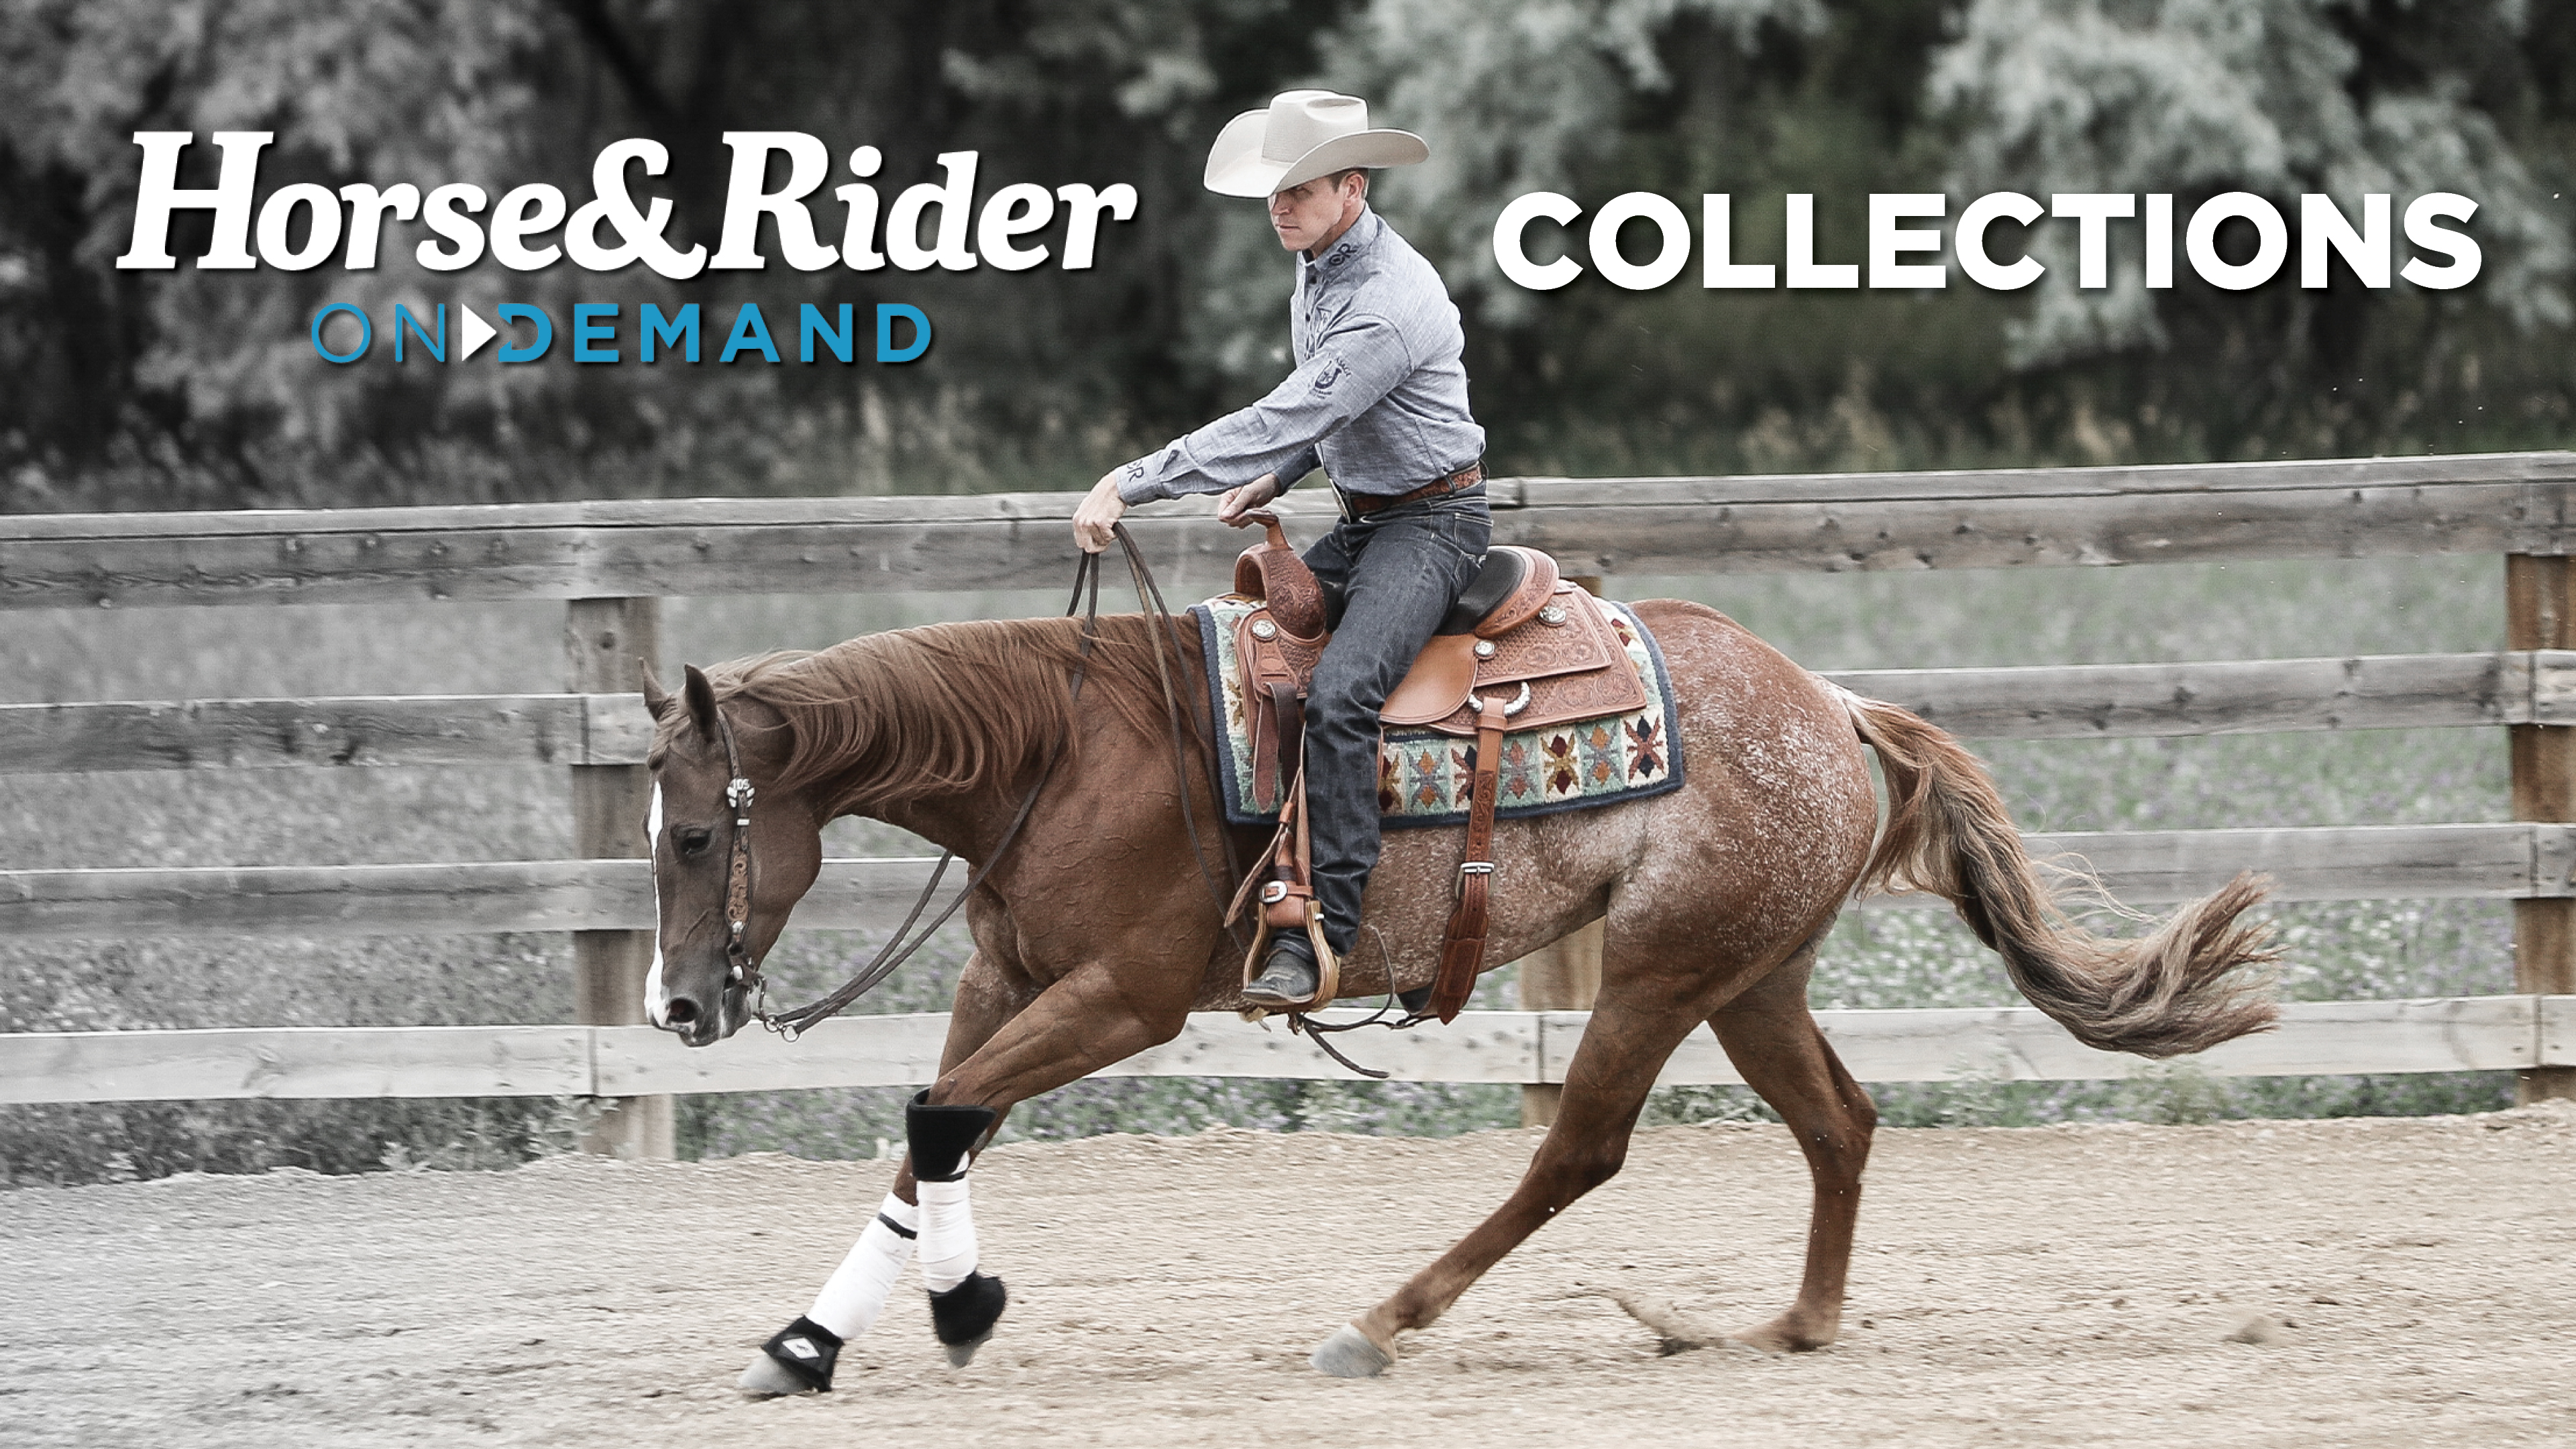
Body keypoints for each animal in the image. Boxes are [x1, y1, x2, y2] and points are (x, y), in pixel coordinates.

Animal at [636, 596, 2276, 1388]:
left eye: (701, 832)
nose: (680, 1013)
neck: (1065, 754)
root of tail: (1832, 705)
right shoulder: (1008, 975)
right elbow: (936, 1131)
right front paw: (813, 1344)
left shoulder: (1126, 999)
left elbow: (937, 1118)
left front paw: (960, 1308)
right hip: (1753, 973)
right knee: (1842, 1124)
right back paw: (1793, 1327)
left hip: (1666, 971)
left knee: (1583, 1149)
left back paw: (1384, 1319)